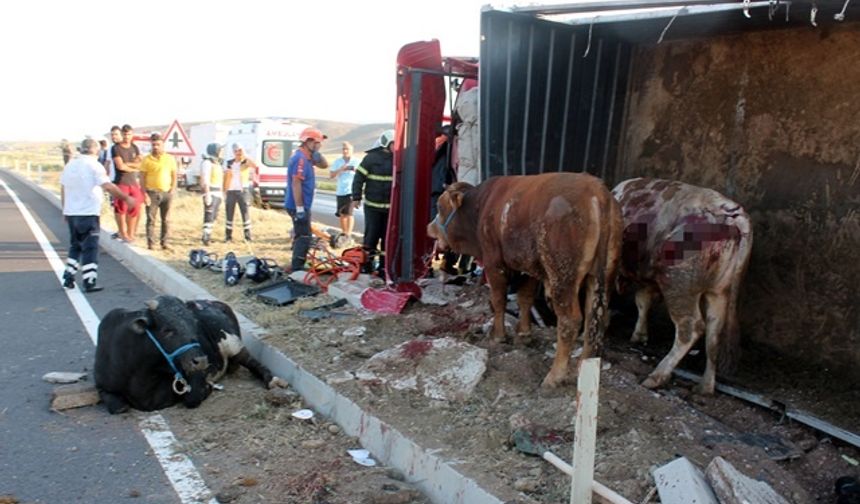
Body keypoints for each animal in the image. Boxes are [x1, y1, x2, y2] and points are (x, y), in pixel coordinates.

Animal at [95, 296, 286, 414]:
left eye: (194, 323)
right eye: (167, 330)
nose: (200, 360)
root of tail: (217, 303)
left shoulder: (195, 377)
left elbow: (192, 398)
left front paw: (208, 387)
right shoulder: (102, 386)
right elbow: (118, 407)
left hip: (233, 345)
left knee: (252, 362)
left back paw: (272, 380)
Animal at [428, 171, 620, 388]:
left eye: (439, 206)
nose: (429, 227)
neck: (481, 207)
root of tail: (598, 191)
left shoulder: (494, 263)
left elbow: (499, 300)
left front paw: (498, 335)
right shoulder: (528, 267)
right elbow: (525, 298)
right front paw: (524, 334)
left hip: (562, 276)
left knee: (570, 321)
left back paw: (555, 376)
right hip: (603, 275)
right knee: (596, 319)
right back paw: (584, 369)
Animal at [612, 177, 752, 394]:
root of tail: (729, 212)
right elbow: (642, 301)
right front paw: (639, 336)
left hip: (678, 282)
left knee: (691, 328)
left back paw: (656, 376)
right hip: (719, 291)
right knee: (714, 333)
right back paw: (705, 387)